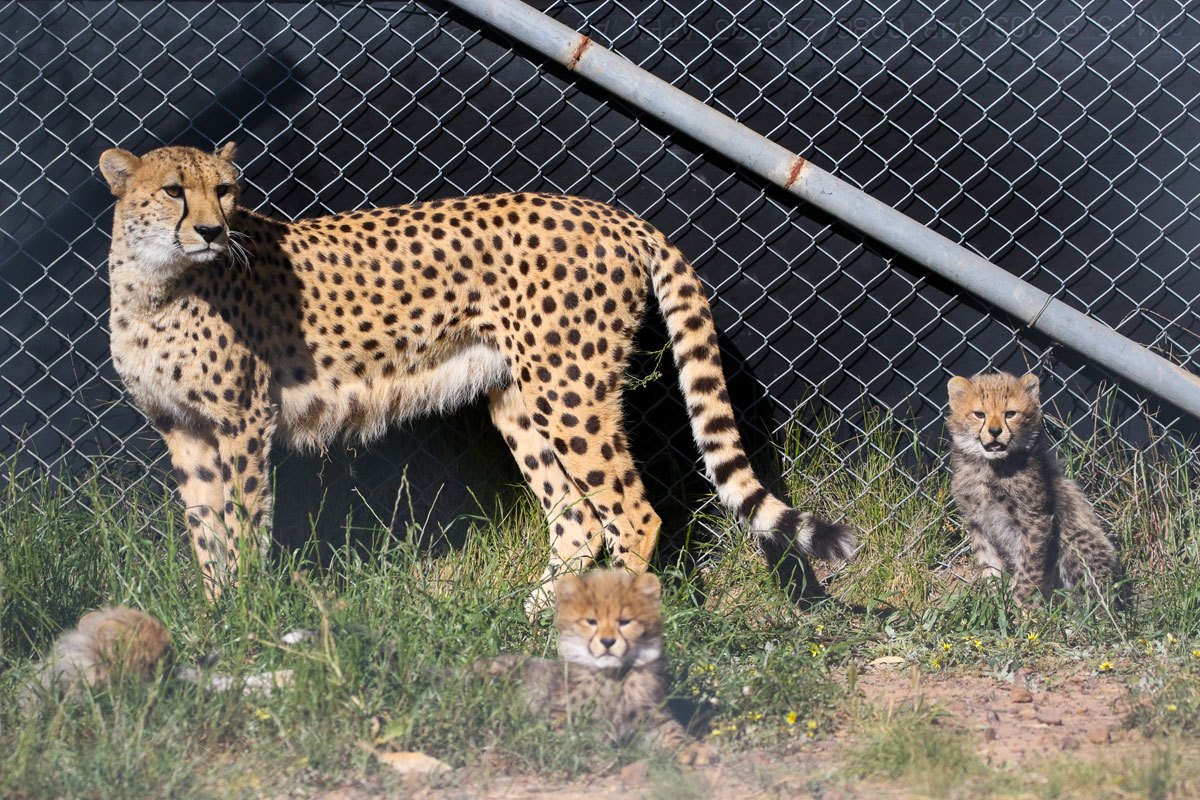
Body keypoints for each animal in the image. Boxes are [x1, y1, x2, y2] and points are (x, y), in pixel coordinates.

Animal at [98, 142, 855, 610]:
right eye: (174, 191)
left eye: (225, 191)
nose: (212, 231)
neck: (159, 284)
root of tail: (611, 211)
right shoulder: (184, 431)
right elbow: (205, 532)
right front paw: (217, 618)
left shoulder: (243, 424)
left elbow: (242, 525)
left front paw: (250, 615)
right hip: (520, 394)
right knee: (576, 514)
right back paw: (544, 613)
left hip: (569, 386)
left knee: (633, 513)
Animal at [476, 568, 718, 766]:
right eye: (591, 621)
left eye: (625, 621)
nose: (608, 642)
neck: (613, 677)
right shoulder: (559, 719)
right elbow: (572, 740)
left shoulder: (653, 719)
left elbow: (674, 733)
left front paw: (695, 749)